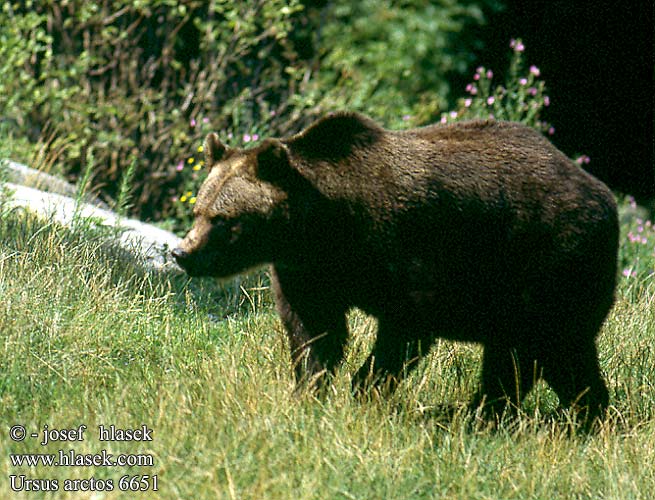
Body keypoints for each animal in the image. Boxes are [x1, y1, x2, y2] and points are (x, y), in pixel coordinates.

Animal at [172, 111, 616, 420]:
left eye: (224, 219)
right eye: (199, 210)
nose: (183, 253)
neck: (326, 229)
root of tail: (600, 192)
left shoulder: (407, 255)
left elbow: (404, 329)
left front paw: (364, 390)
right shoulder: (308, 273)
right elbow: (315, 333)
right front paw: (307, 392)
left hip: (547, 262)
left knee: (538, 350)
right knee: (550, 354)